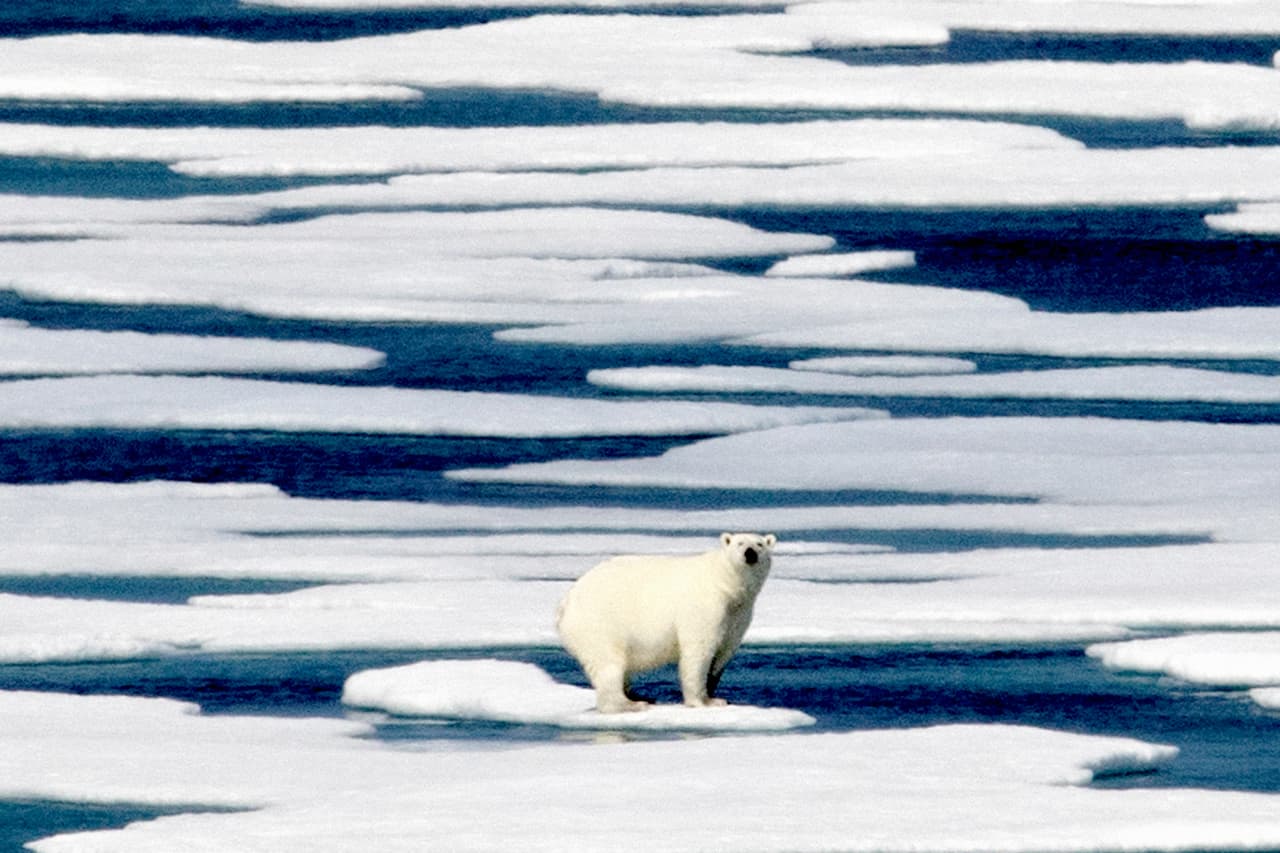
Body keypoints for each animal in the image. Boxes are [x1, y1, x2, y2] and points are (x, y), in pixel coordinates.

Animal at [556, 532, 777, 713]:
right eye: (740, 543)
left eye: (759, 544)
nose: (750, 553)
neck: (726, 584)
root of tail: (566, 604)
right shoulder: (704, 607)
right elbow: (699, 652)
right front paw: (701, 702)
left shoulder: (738, 615)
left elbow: (723, 655)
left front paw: (714, 697)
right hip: (600, 623)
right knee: (609, 663)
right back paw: (632, 704)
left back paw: (639, 695)